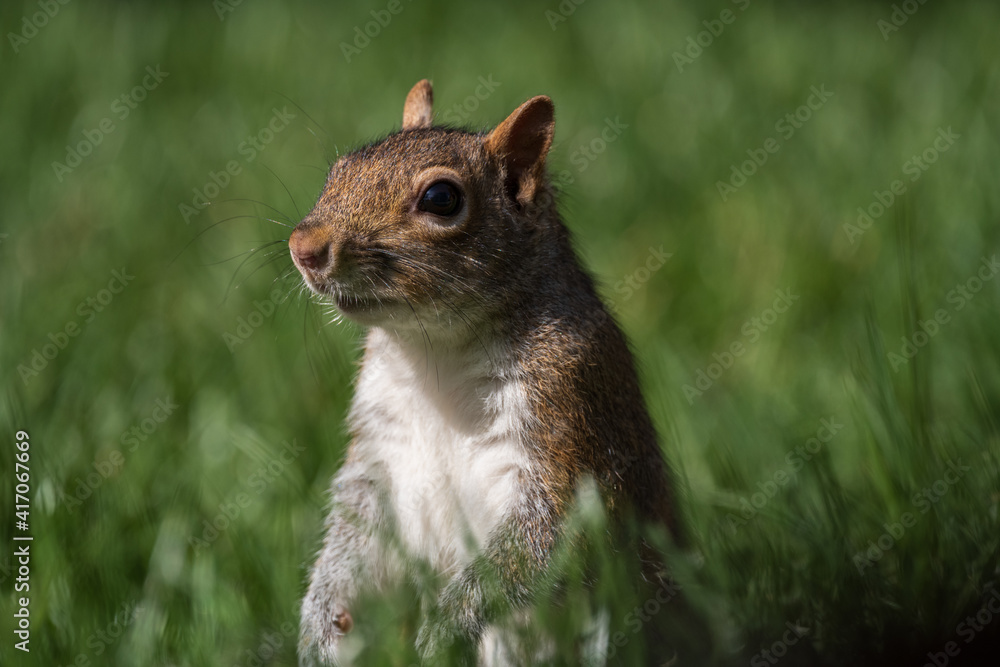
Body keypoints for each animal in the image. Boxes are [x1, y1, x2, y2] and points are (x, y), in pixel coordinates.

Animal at [291, 80, 681, 666]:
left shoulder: (567, 405)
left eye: (441, 199)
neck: (437, 352)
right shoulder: (381, 451)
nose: (304, 248)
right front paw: (320, 622)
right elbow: (354, 529)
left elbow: (546, 536)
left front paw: (446, 625)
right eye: (338, 170)